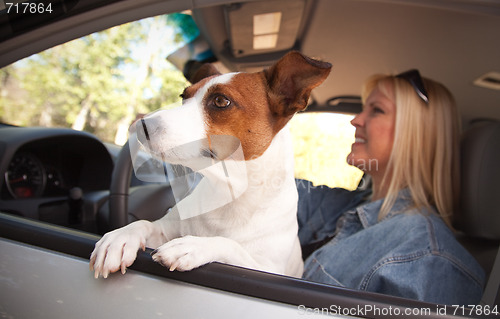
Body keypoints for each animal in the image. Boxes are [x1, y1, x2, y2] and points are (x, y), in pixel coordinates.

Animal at [90, 51, 332, 278]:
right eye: (183, 96)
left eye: (220, 101)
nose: (140, 125)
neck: (228, 195)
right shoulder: (165, 228)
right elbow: (144, 224)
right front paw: (119, 238)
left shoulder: (267, 269)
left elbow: (230, 244)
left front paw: (192, 244)